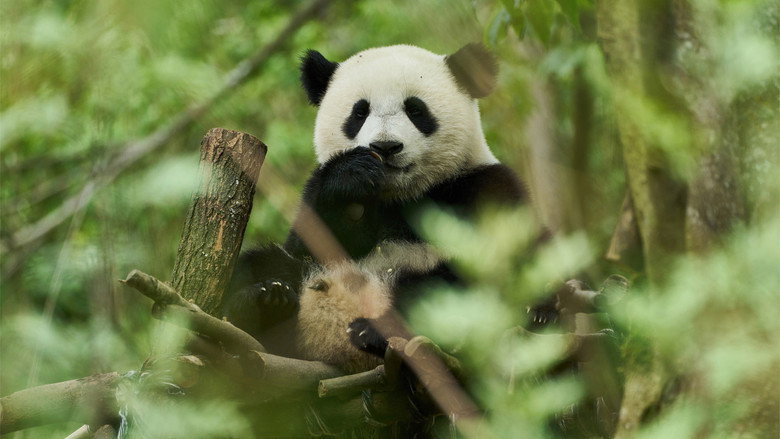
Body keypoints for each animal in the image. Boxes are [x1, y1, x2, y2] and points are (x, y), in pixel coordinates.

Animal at [222, 43, 531, 366]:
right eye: (359, 112)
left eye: (415, 110)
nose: (385, 146)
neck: (400, 194)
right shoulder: (317, 196)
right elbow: (310, 242)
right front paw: (352, 176)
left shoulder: (483, 186)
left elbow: (491, 260)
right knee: (261, 263)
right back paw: (265, 300)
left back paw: (371, 331)